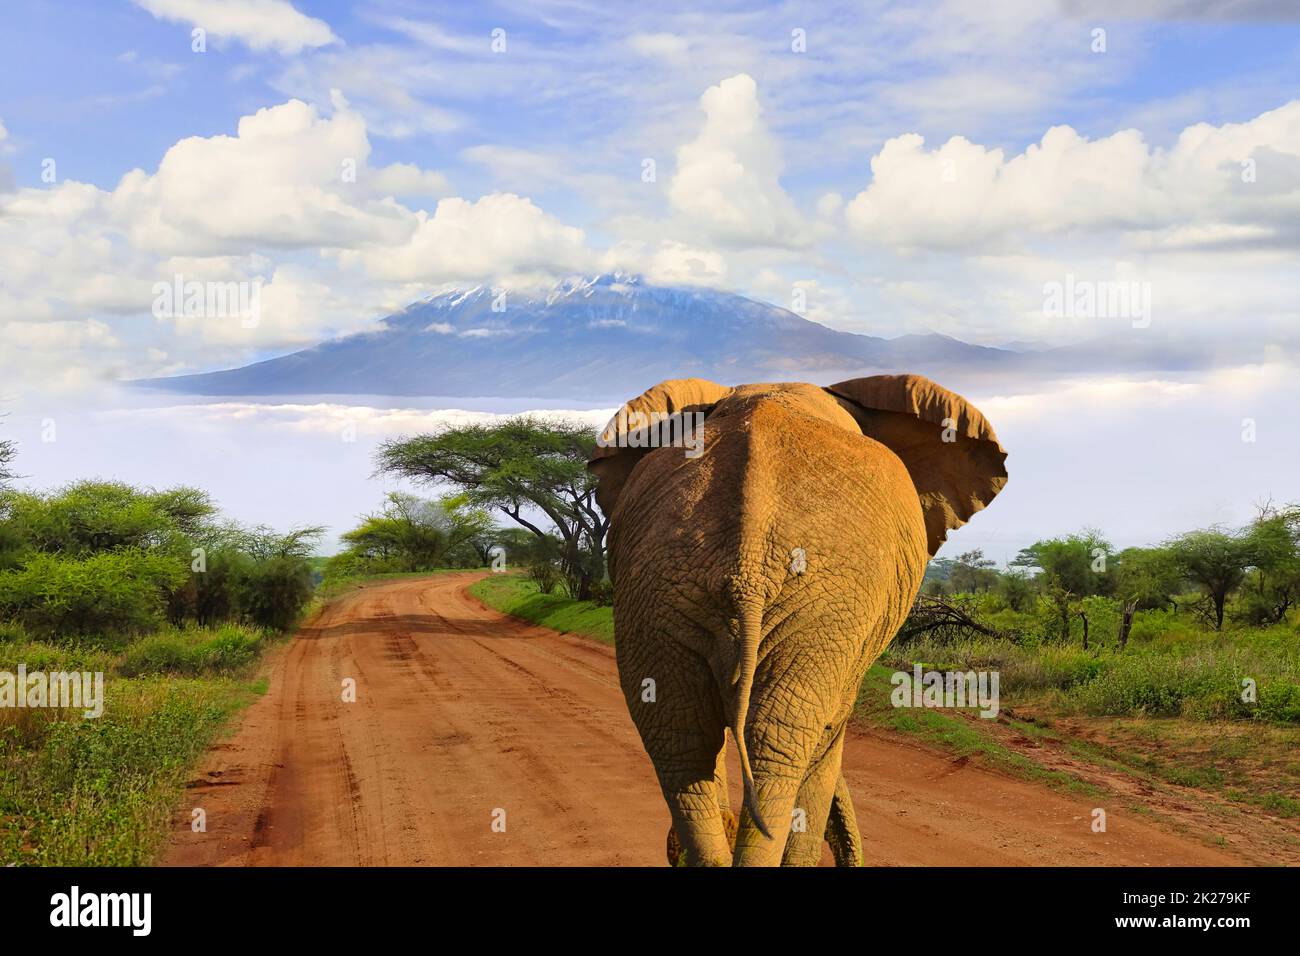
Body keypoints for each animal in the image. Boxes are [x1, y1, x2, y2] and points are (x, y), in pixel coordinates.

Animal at [590, 374, 1003, 868]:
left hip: (659, 591)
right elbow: (828, 739)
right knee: (778, 743)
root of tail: (747, 565)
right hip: (821, 605)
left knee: (684, 742)